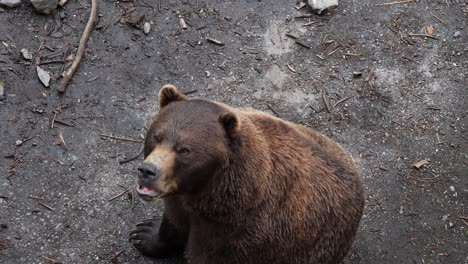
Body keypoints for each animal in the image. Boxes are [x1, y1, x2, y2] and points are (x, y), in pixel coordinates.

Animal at [129, 84, 366, 264]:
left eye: (184, 149)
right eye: (157, 136)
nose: (148, 171)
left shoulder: (239, 237)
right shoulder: (183, 203)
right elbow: (172, 221)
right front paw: (143, 233)